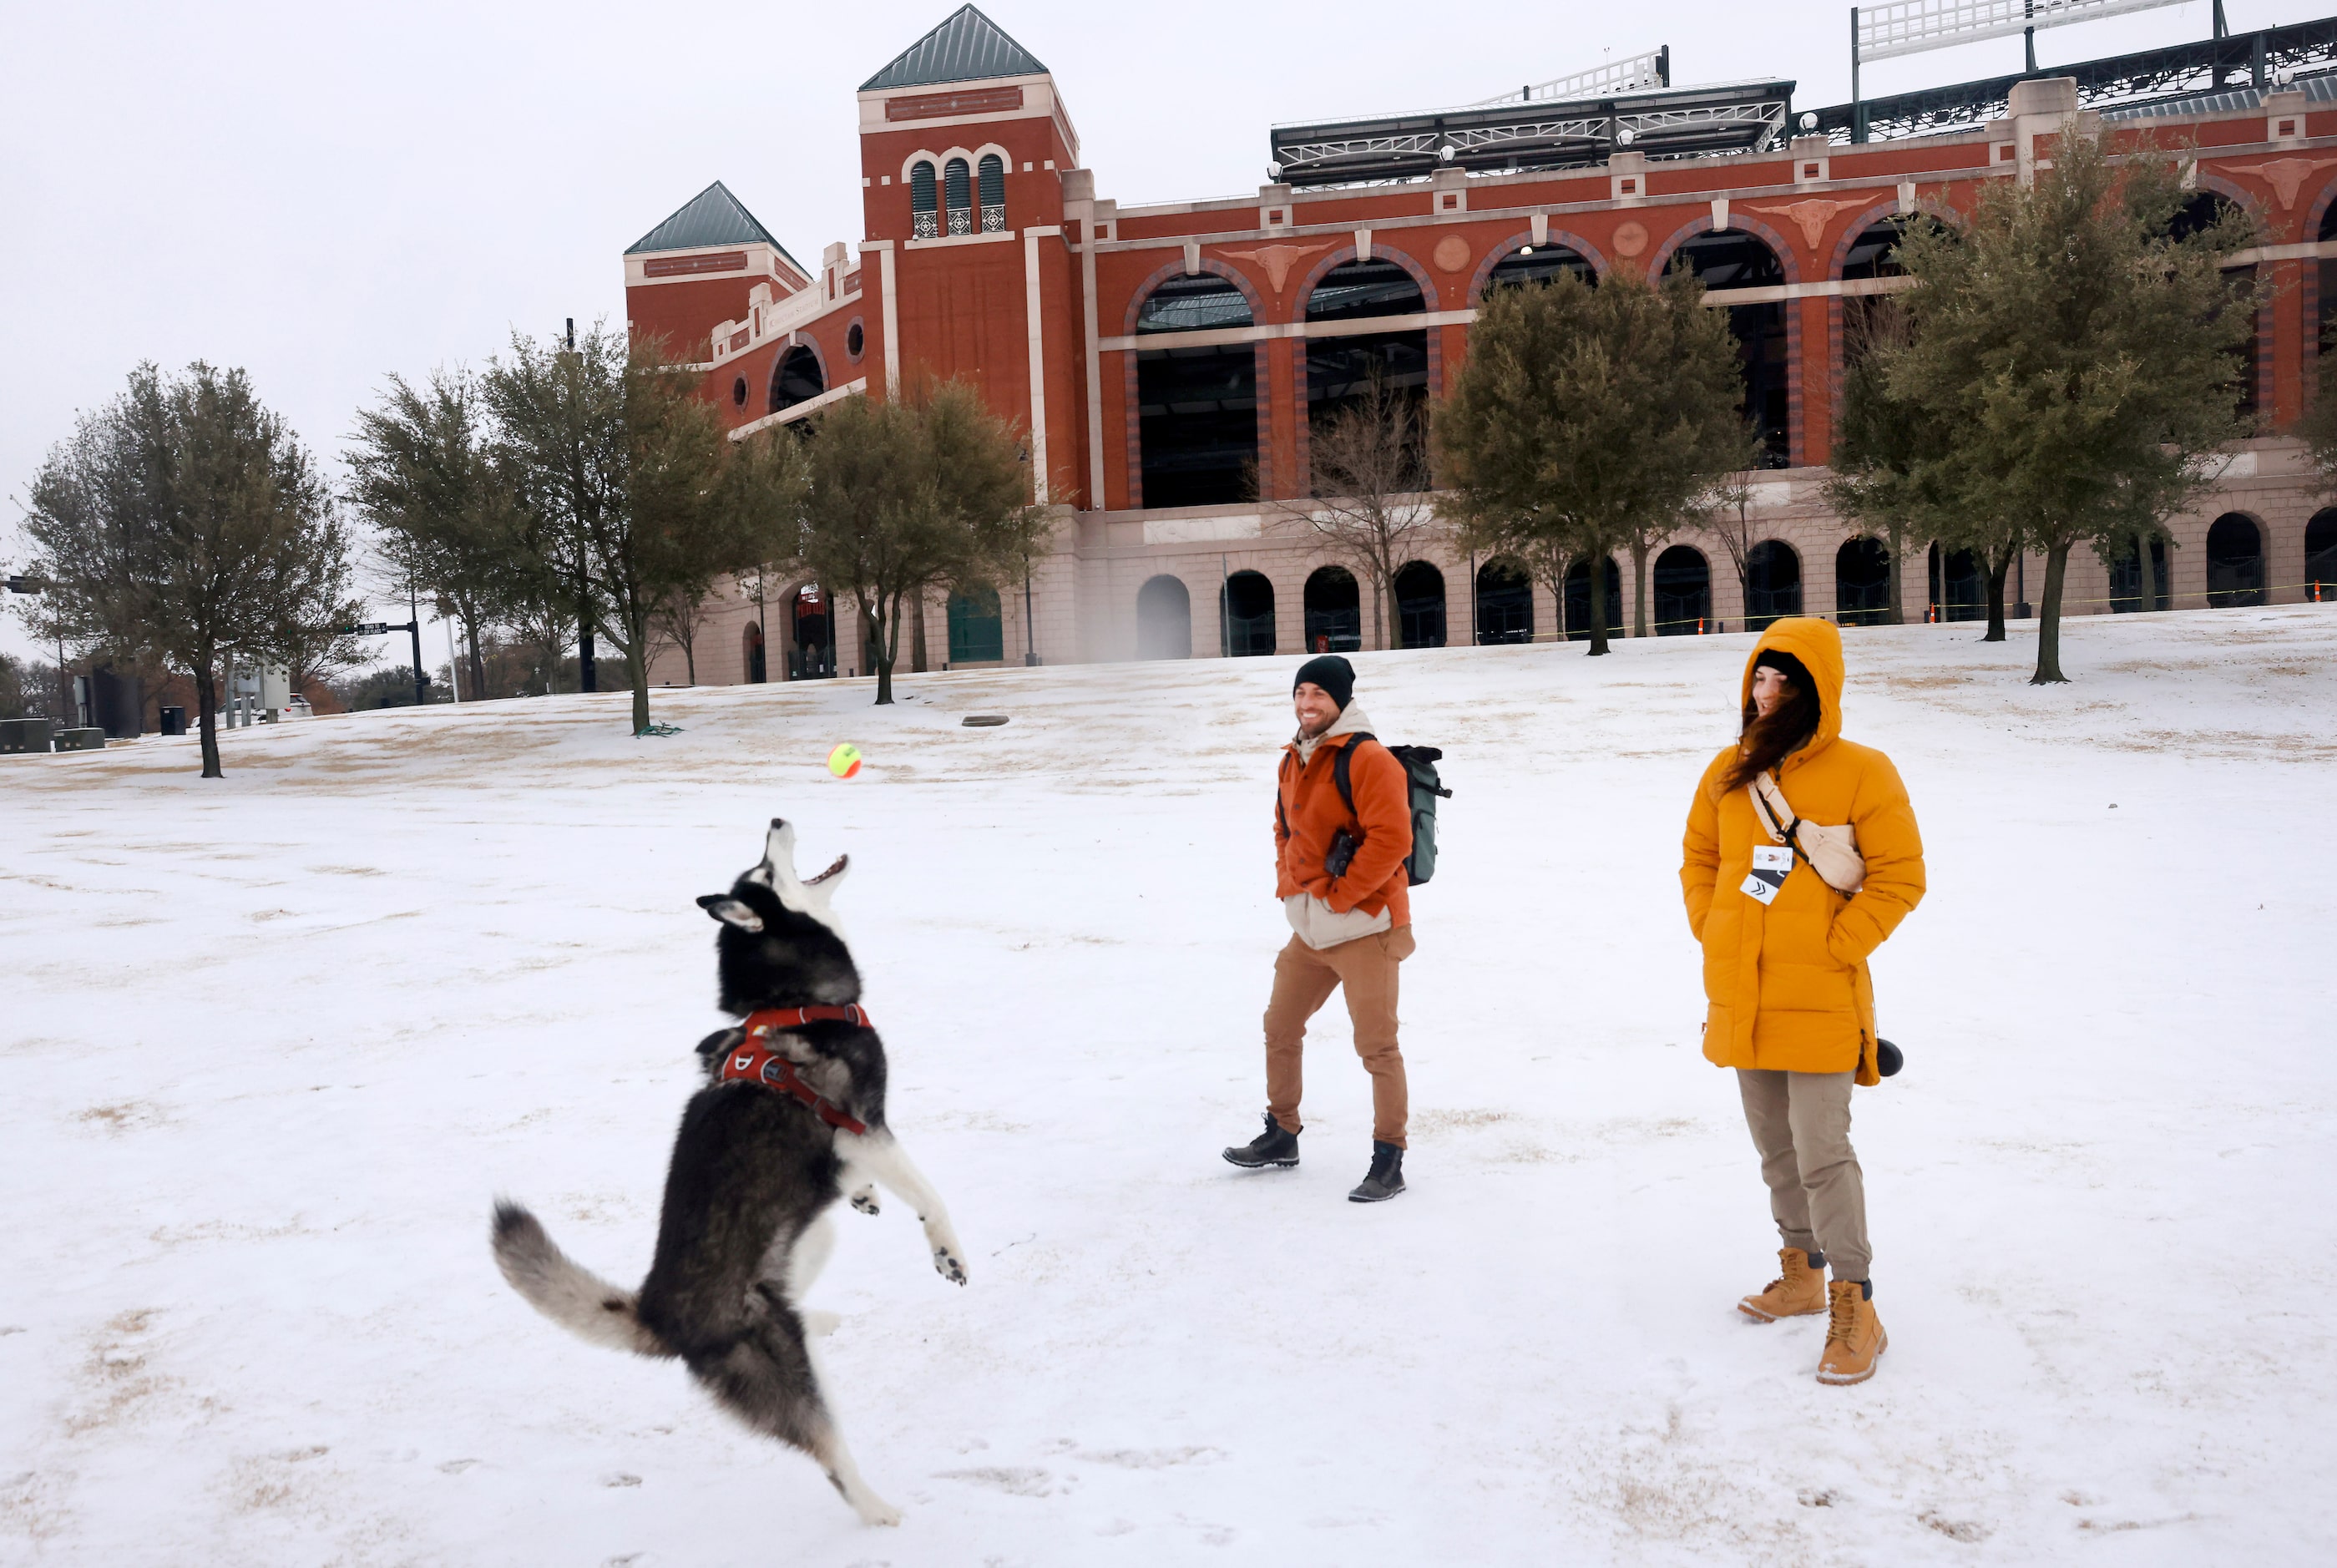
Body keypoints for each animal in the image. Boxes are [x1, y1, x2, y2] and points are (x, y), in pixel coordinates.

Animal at [493, 817, 967, 1523]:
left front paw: (865, 1195)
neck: (792, 1002)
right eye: (763, 873)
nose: (775, 820)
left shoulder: (849, 1149)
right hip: (777, 1368)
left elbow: (868, 1182)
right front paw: (947, 1254)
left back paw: (817, 1321)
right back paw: (879, 1510)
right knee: (830, 1455)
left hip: (806, 1237)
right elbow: (931, 1197)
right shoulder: (865, 1126)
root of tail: (658, 1314)